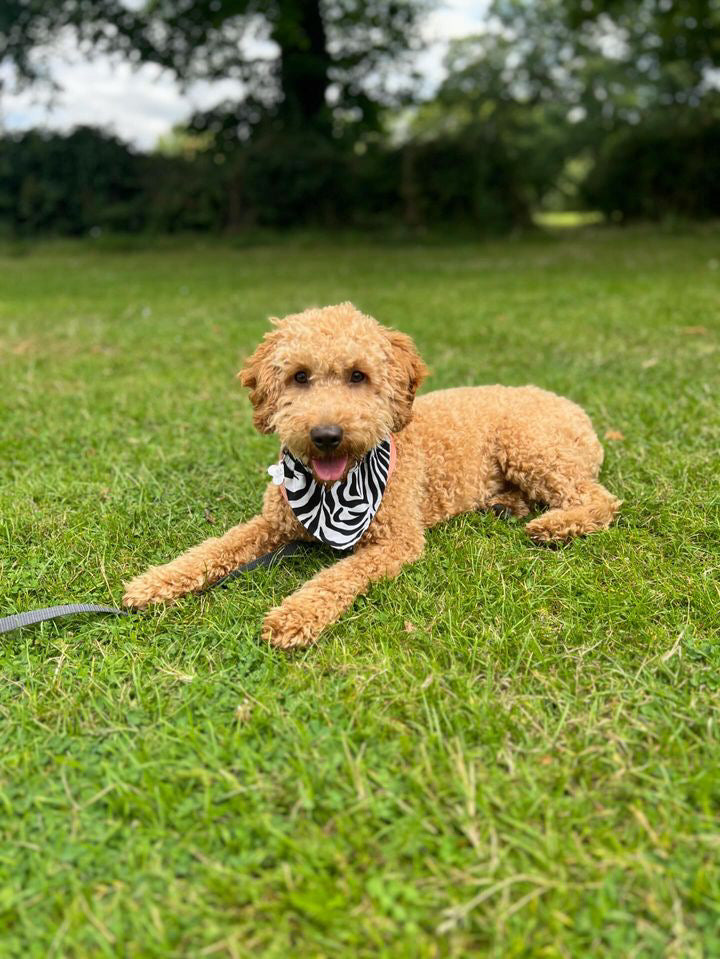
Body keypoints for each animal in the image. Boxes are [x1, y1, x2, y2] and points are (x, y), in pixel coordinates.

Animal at [122, 304, 620, 648]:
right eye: (299, 376)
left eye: (358, 376)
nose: (326, 435)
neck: (330, 490)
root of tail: (573, 407)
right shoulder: (271, 522)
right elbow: (213, 549)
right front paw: (155, 583)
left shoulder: (397, 540)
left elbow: (337, 577)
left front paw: (295, 615)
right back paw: (506, 505)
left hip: (530, 446)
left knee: (597, 499)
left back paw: (555, 525)